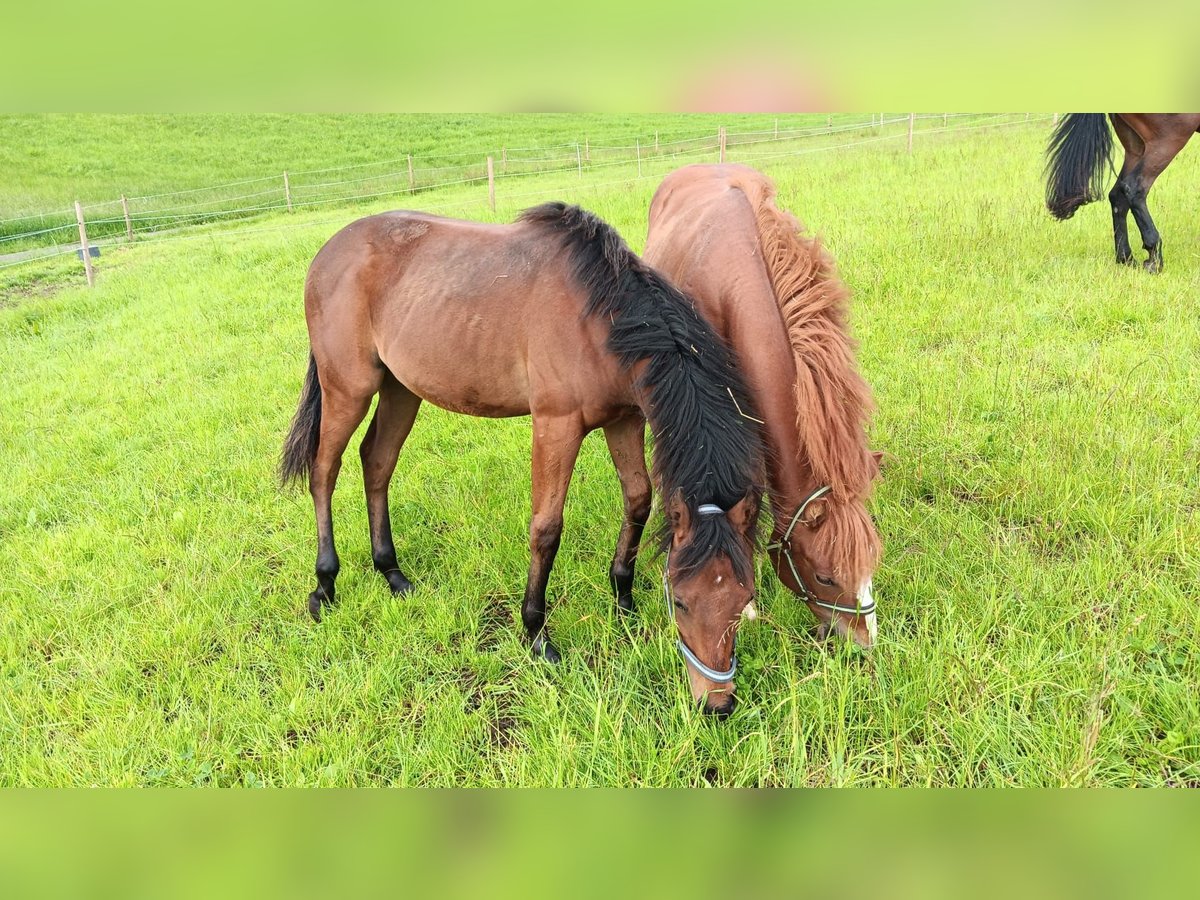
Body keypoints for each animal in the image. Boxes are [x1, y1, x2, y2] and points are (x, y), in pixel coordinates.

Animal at [280, 200, 763, 715]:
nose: (717, 704)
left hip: (399, 388)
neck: (602, 317)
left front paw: (623, 598)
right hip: (347, 388)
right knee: (324, 471)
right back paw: (324, 585)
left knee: (377, 461)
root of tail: (329, 251)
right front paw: (536, 634)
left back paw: (392, 572)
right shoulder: (556, 425)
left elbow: (637, 500)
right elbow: (546, 529)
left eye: (744, 598)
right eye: (684, 602)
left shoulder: (625, 419)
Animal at [1041, 112, 1200, 271]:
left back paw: (1126, 258)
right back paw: (1154, 259)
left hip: (1135, 148)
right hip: (1166, 142)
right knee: (1134, 189)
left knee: (1118, 196)